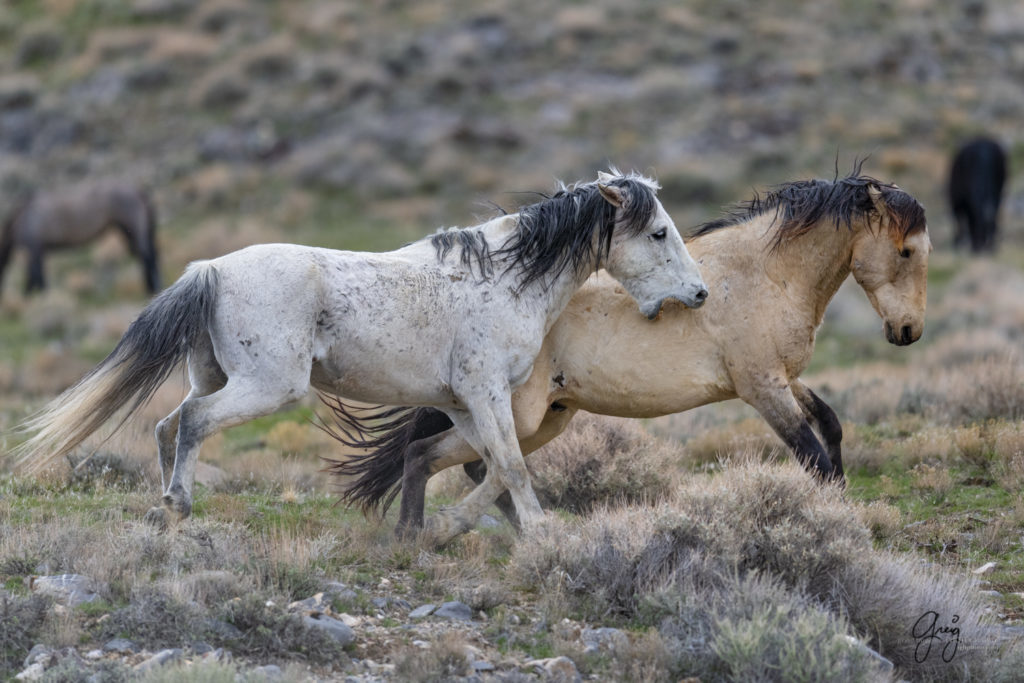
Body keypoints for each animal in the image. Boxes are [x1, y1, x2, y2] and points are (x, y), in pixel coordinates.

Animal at [0, 180, 159, 296]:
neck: (23, 214)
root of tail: (137, 190)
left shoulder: (35, 248)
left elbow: (35, 274)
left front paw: (34, 294)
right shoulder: (38, 250)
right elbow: (36, 274)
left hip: (134, 230)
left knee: (147, 257)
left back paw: (152, 288)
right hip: (127, 233)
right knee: (148, 256)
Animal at [325, 171, 929, 544]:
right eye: (904, 251)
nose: (908, 331)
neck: (763, 274)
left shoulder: (784, 378)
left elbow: (830, 425)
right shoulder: (761, 387)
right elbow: (811, 453)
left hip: (548, 417)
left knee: (463, 460)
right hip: (518, 411)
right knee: (454, 457)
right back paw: (444, 533)